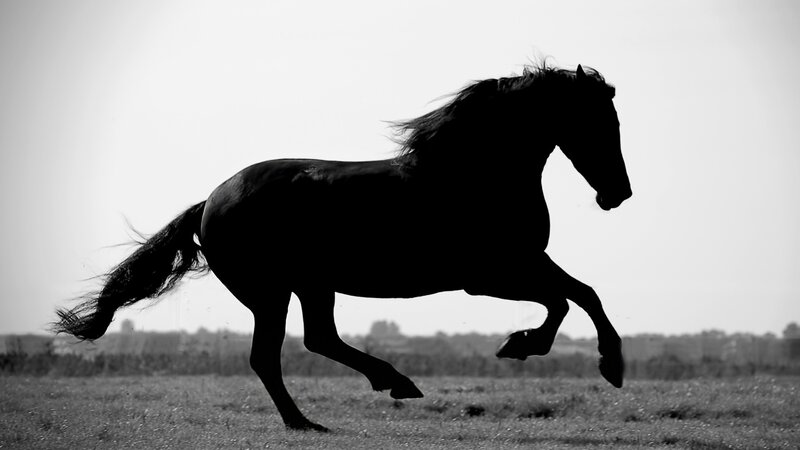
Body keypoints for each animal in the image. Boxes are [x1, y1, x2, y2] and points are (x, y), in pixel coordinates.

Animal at [54, 63, 632, 432]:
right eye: (598, 121)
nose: (618, 194)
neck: (472, 176)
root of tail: (209, 203)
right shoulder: (490, 275)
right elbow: (565, 301)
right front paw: (536, 348)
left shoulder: (525, 263)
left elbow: (582, 293)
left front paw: (603, 362)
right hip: (271, 292)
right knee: (270, 355)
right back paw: (311, 420)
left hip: (311, 286)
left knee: (318, 340)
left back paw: (388, 385)